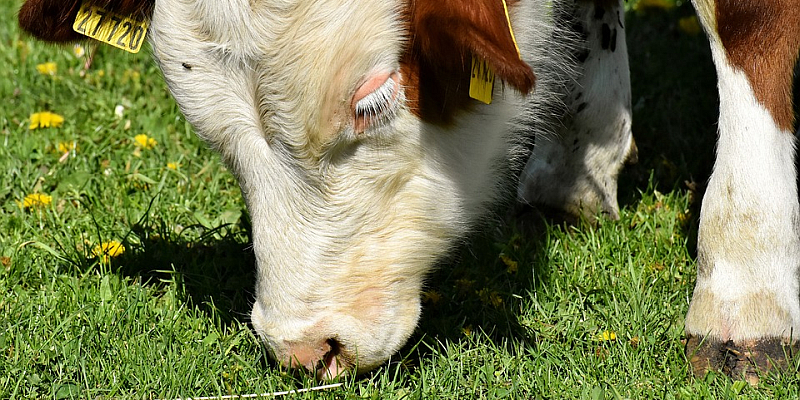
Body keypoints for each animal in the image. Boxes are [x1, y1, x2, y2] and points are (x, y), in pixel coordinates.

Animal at [18, 0, 800, 382]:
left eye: (371, 100)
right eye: (211, 131)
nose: (305, 350)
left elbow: (745, 21)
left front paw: (743, 305)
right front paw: (576, 164)